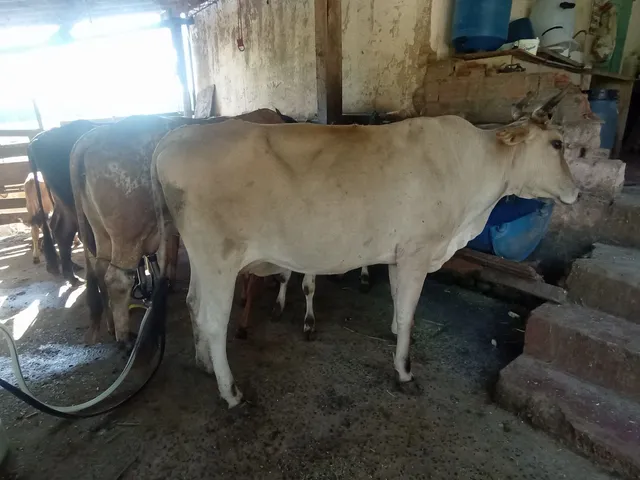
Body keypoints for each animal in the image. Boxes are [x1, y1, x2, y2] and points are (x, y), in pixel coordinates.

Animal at [70, 109, 295, 345]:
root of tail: (95, 135)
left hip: (102, 233)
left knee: (100, 270)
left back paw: (112, 327)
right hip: (129, 236)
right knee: (117, 280)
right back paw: (124, 338)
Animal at [150, 90, 578, 408]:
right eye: (557, 143)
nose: (576, 191)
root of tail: (173, 138)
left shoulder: (400, 254)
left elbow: (398, 304)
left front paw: (393, 336)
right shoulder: (418, 251)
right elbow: (409, 314)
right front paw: (404, 371)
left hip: (203, 261)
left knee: (192, 303)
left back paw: (204, 365)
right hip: (219, 258)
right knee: (213, 320)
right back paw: (231, 392)